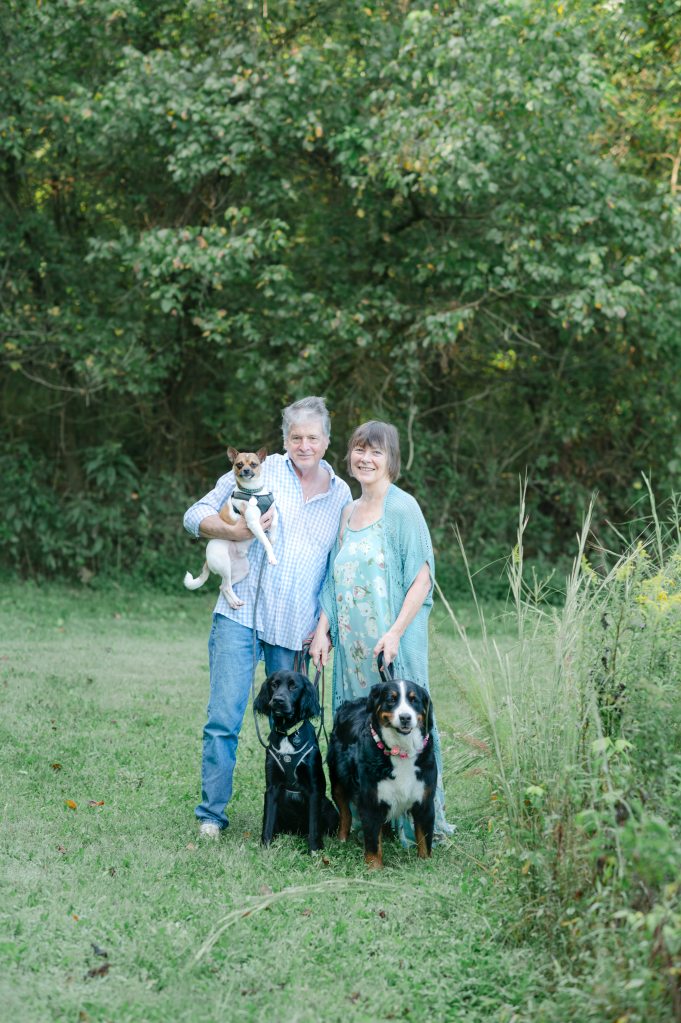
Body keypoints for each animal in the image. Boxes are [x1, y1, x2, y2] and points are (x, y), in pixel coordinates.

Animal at [184, 447, 278, 608]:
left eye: (254, 464)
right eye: (239, 464)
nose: (246, 470)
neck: (253, 492)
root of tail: (207, 559)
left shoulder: (273, 512)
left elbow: (274, 525)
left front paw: (273, 538)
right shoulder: (254, 523)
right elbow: (265, 541)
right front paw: (271, 555)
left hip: (242, 570)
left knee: (222, 586)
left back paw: (233, 602)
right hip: (224, 565)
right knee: (226, 586)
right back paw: (236, 600)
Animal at [253, 670, 339, 853]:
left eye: (293, 686)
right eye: (274, 685)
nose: (278, 700)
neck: (288, 732)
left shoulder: (314, 789)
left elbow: (314, 825)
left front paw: (314, 850)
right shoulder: (272, 787)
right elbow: (267, 821)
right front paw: (265, 847)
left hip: (328, 807)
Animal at [327, 677, 436, 868]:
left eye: (414, 700)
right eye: (391, 699)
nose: (405, 717)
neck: (401, 750)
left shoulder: (425, 799)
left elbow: (424, 838)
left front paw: (425, 864)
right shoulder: (370, 800)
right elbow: (372, 841)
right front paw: (374, 868)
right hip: (338, 781)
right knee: (345, 813)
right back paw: (342, 839)